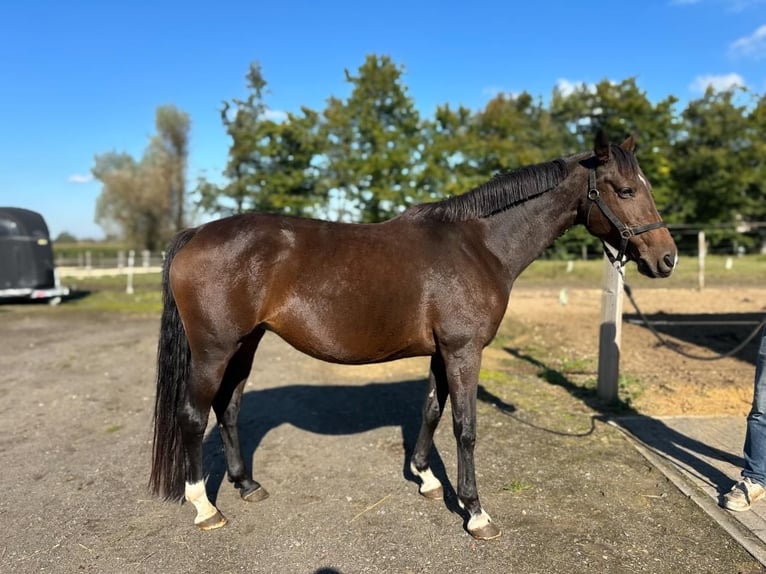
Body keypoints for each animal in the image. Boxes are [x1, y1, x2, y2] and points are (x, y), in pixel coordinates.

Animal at [150, 130, 680, 540]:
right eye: (626, 190)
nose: (667, 258)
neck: (478, 245)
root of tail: (195, 234)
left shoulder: (443, 352)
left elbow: (430, 409)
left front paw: (425, 479)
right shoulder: (464, 351)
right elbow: (465, 428)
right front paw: (475, 512)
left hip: (246, 344)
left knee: (229, 409)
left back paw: (246, 485)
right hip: (214, 350)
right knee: (194, 416)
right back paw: (205, 507)